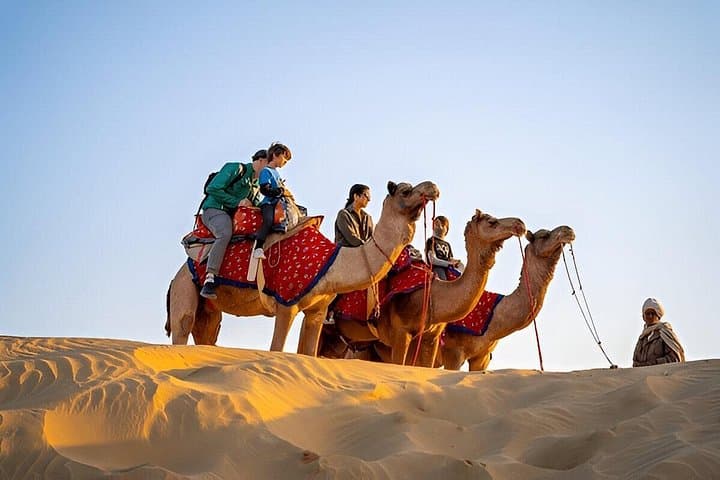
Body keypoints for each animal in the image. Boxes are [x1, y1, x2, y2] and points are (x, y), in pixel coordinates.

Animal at [165, 180, 440, 356]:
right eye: (405, 191)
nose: (433, 187)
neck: (331, 264)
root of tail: (175, 277)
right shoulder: (286, 303)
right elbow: (276, 349)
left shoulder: (318, 311)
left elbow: (308, 353)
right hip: (185, 288)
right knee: (182, 328)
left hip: (209, 312)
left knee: (206, 336)